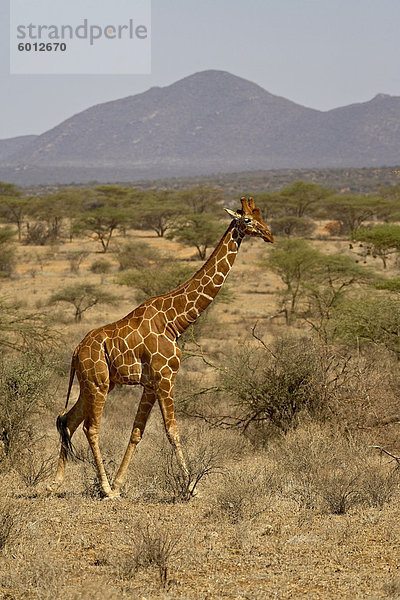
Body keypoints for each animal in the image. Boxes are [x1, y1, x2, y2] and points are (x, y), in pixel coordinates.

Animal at [48, 196, 274, 496]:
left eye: (261, 216)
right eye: (248, 220)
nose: (270, 235)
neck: (175, 321)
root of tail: (76, 351)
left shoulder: (151, 384)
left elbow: (137, 431)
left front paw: (120, 483)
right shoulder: (166, 377)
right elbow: (172, 430)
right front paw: (191, 487)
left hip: (93, 383)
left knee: (68, 420)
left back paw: (56, 483)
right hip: (98, 383)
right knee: (90, 428)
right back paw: (104, 489)